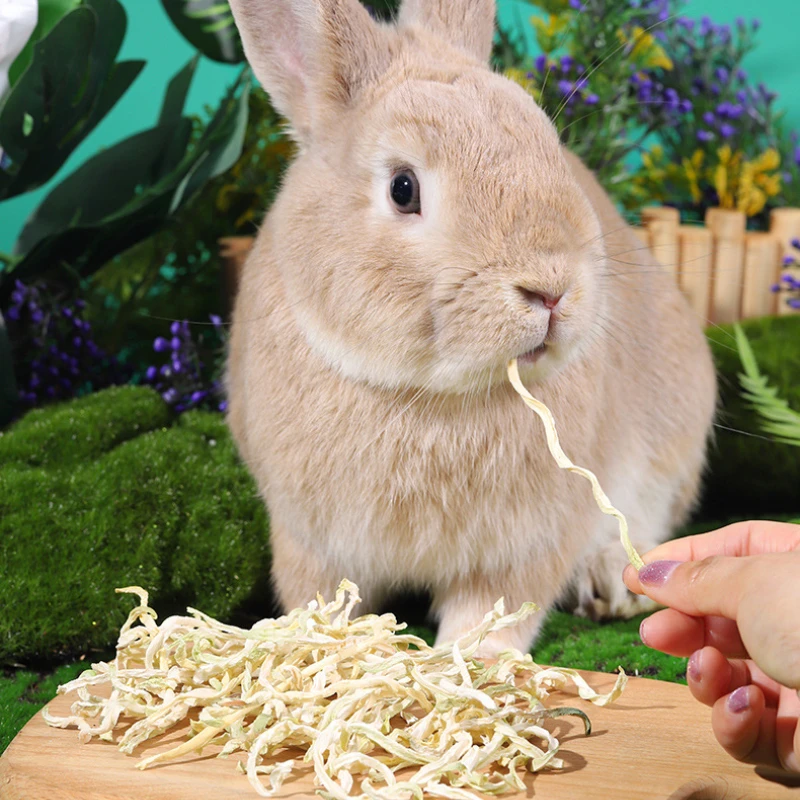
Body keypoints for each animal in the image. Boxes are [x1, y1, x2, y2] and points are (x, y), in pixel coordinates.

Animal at [225, 0, 717, 657]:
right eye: (402, 187)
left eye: (549, 146)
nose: (551, 288)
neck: (426, 395)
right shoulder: (310, 538)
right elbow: (321, 596)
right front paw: (319, 643)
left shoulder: (524, 545)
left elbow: (493, 608)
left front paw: (471, 657)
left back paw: (610, 583)